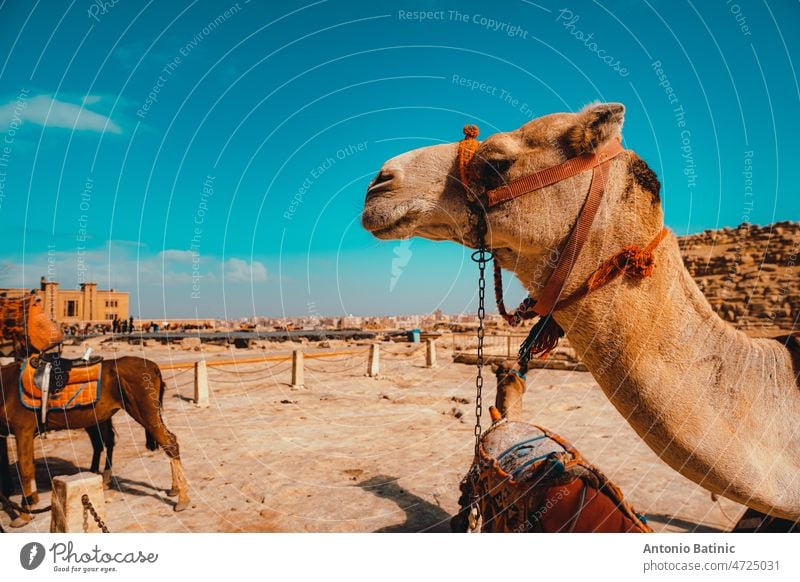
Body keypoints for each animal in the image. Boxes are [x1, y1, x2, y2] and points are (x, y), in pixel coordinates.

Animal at [0, 296, 189, 528]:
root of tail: (153, 366)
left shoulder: (23, 429)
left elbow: (26, 468)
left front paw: (25, 513)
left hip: (144, 410)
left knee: (168, 441)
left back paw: (182, 498)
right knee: (118, 441)